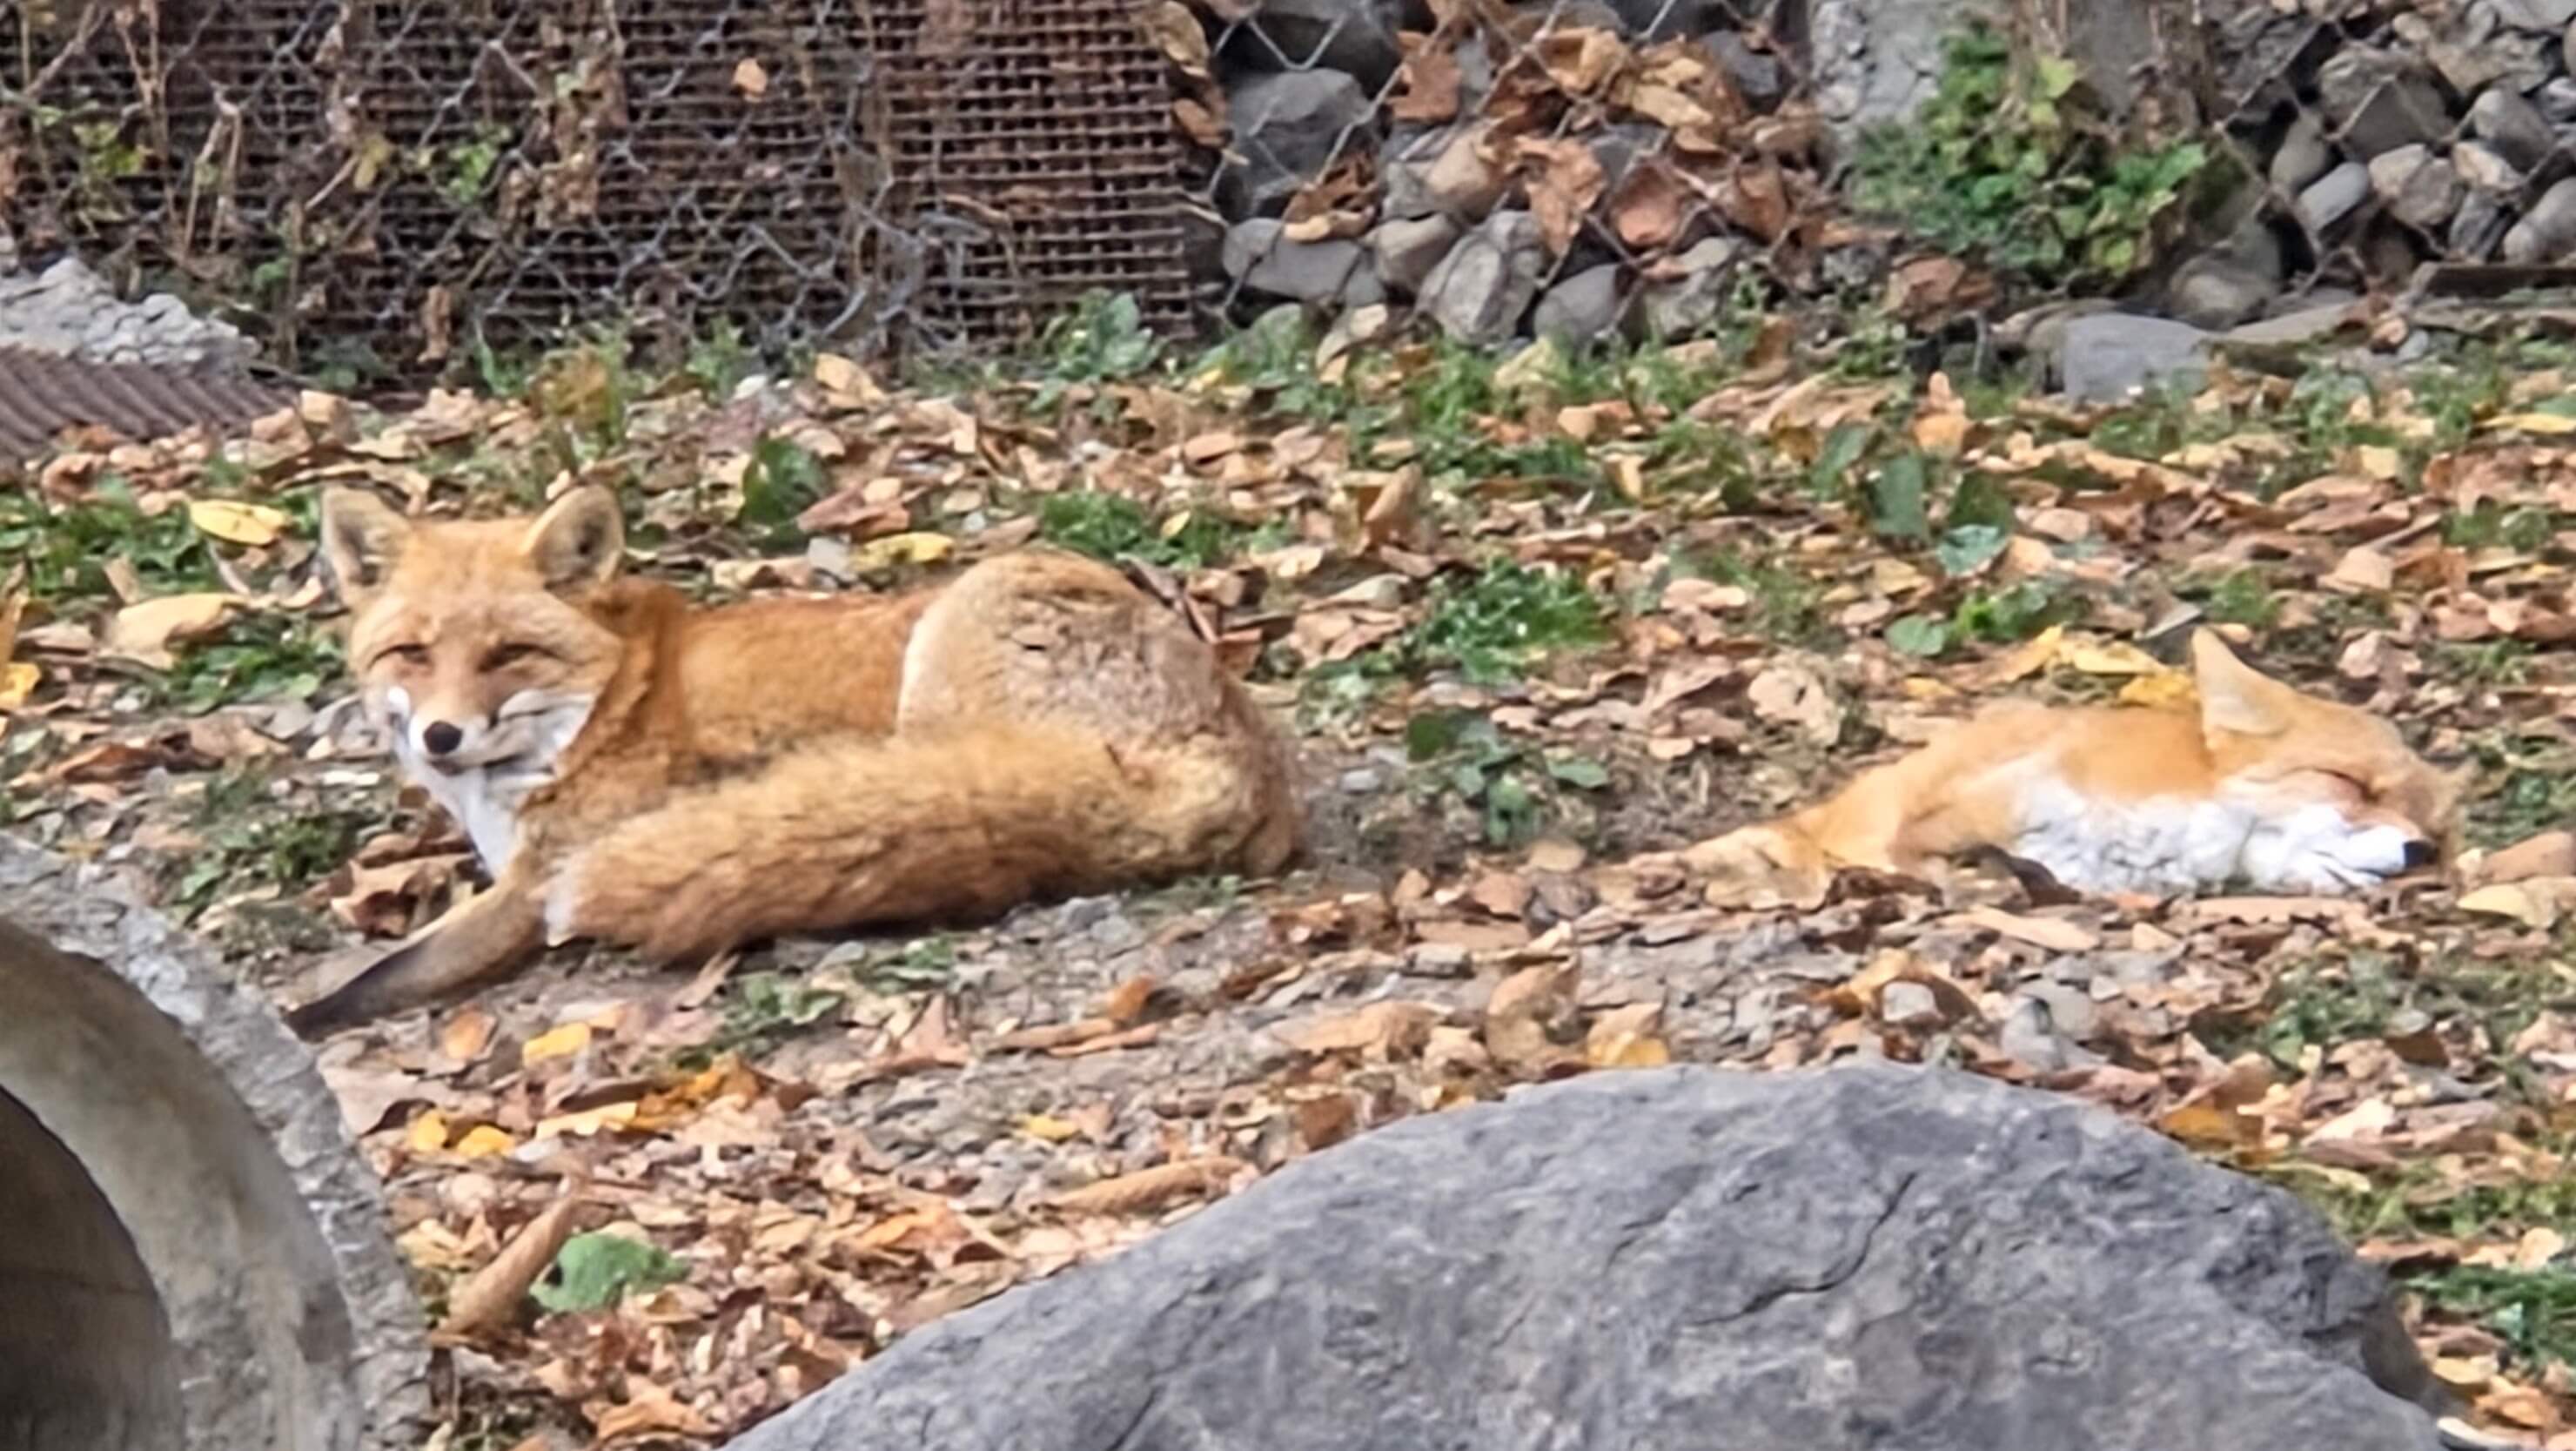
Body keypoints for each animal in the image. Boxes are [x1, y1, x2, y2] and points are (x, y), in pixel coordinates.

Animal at [285, 484, 1301, 1036]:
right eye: (412, 654)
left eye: (507, 655)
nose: (440, 737)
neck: (598, 708)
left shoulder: (534, 891)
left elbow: (372, 982)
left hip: (945, 654)